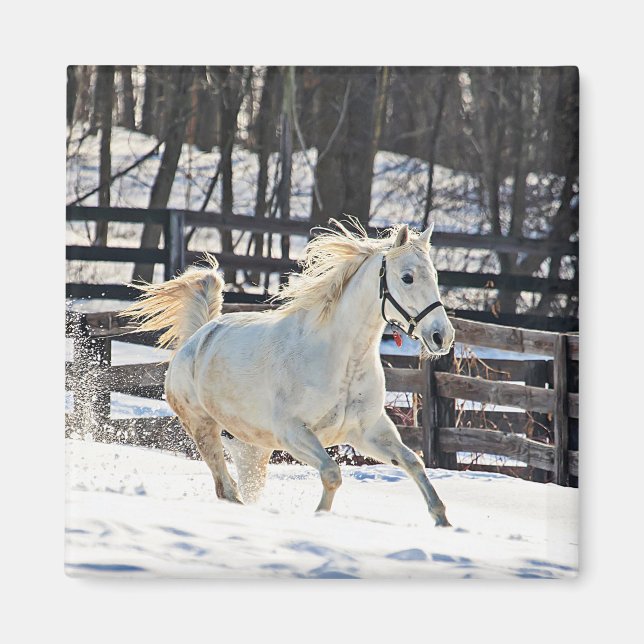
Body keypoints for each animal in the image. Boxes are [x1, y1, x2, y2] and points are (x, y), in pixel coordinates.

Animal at [124, 219, 456, 527]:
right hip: (202, 428)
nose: (442, 336)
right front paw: (319, 516)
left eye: (435, 276)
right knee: (225, 487)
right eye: (408, 277)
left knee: (238, 486)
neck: (342, 361)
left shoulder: (368, 431)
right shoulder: (293, 433)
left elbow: (413, 462)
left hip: (252, 447)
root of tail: (195, 339)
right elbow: (332, 473)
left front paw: (443, 521)